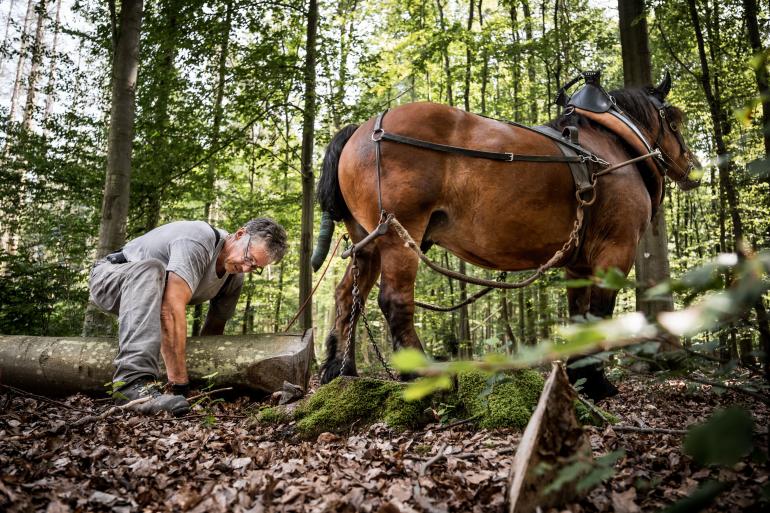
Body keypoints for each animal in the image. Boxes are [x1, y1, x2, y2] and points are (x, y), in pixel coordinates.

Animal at [310, 73, 696, 400]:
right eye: (674, 121)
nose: (692, 167)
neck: (612, 145)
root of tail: (362, 129)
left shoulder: (578, 264)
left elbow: (579, 318)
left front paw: (579, 377)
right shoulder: (615, 250)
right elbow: (600, 316)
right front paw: (597, 382)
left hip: (367, 239)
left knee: (348, 295)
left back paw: (340, 370)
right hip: (398, 233)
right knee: (394, 301)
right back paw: (423, 376)